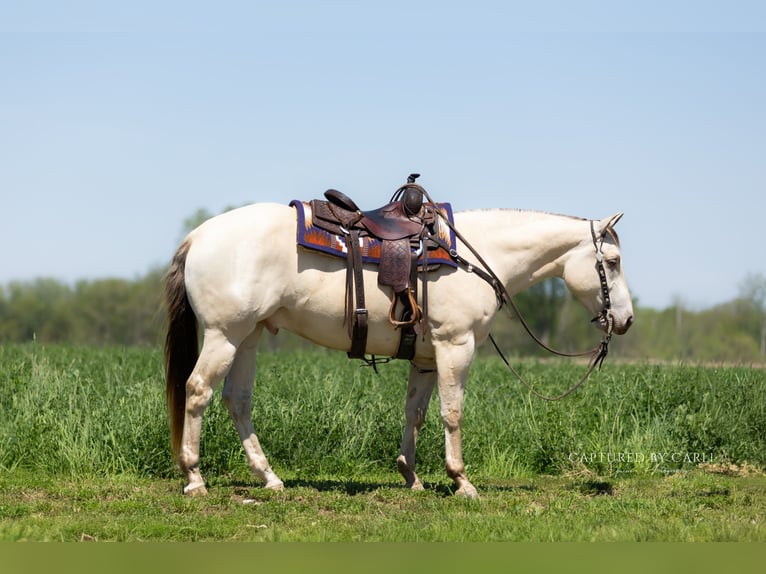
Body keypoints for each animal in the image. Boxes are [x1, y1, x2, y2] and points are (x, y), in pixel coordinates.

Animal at [164, 202, 634, 497]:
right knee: (198, 391)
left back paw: (269, 477)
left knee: (237, 400)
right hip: (224, 335)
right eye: (611, 262)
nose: (626, 320)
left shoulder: (426, 358)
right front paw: (461, 481)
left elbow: (416, 414)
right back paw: (194, 477)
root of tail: (197, 235)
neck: (476, 257)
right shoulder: (455, 347)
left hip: (248, 337)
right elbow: (452, 413)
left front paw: (411, 476)